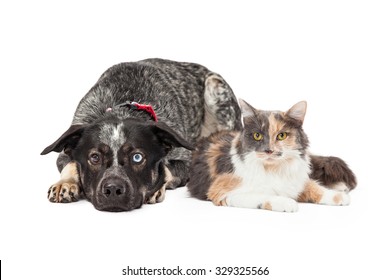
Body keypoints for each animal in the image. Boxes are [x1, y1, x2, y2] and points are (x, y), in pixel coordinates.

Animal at [41, 59, 242, 212]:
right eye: (95, 157)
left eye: (137, 157)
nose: (113, 190)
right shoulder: (64, 154)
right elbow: (71, 165)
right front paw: (65, 184)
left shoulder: (187, 163)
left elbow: (167, 169)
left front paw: (155, 187)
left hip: (215, 86)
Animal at [188, 100, 356, 212]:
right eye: (257, 136)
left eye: (281, 136)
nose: (268, 150)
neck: (274, 169)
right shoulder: (223, 192)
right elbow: (264, 195)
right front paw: (287, 203)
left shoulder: (295, 180)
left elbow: (313, 186)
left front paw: (338, 197)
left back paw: (341, 187)